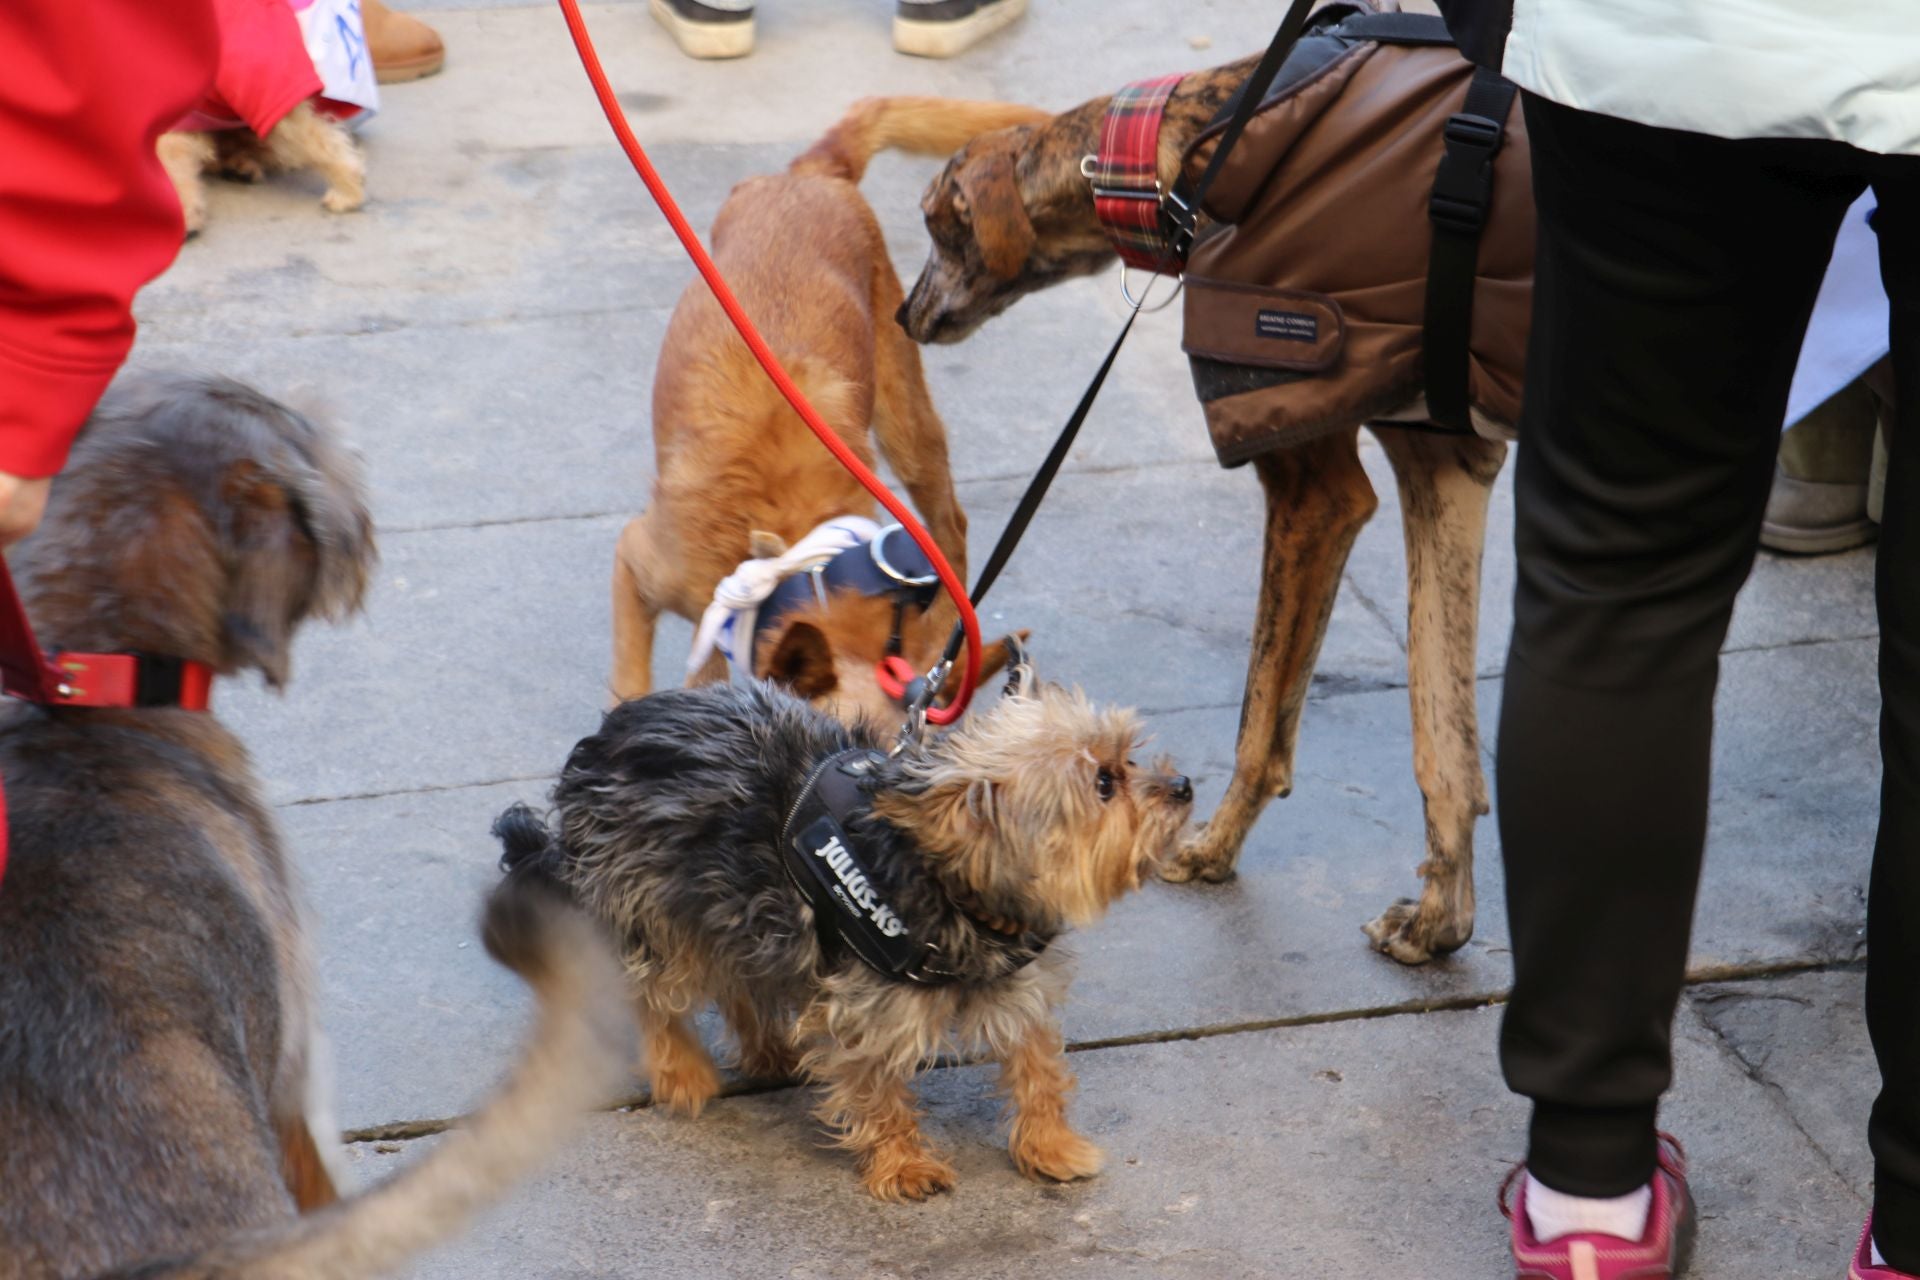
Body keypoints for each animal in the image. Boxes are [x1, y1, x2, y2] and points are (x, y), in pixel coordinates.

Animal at [610, 94, 1052, 725]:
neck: (797, 565)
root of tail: (811, 175)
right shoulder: (637, 566)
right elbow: (631, 683)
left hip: (905, 423)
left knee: (952, 526)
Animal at [890, 65, 1505, 967]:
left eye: (939, 225)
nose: (904, 315)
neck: (1195, 144)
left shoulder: (1317, 492)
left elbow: (1259, 715)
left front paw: (1210, 845)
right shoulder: (1444, 464)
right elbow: (1444, 735)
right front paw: (1442, 921)